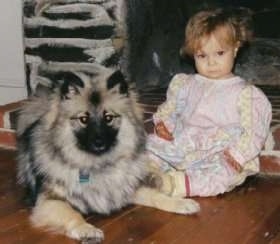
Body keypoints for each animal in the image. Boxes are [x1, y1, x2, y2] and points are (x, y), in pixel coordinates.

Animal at [16, 69, 200, 244]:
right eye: (84, 119)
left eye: (109, 118)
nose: (99, 142)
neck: (98, 165)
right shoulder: (48, 201)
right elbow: (72, 214)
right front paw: (86, 229)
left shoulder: (126, 188)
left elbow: (156, 196)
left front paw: (180, 203)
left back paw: (160, 178)